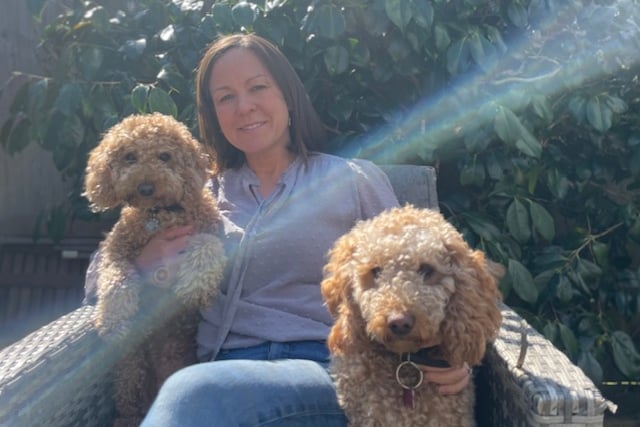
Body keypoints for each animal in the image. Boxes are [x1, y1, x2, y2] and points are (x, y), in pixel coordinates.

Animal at [84, 113, 226, 427]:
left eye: (165, 156)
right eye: (130, 156)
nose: (146, 188)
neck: (160, 215)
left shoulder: (212, 230)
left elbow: (207, 245)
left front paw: (195, 285)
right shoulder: (115, 248)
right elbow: (115, 277)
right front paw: (113, 319)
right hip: (131, 369)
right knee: (130, 404)